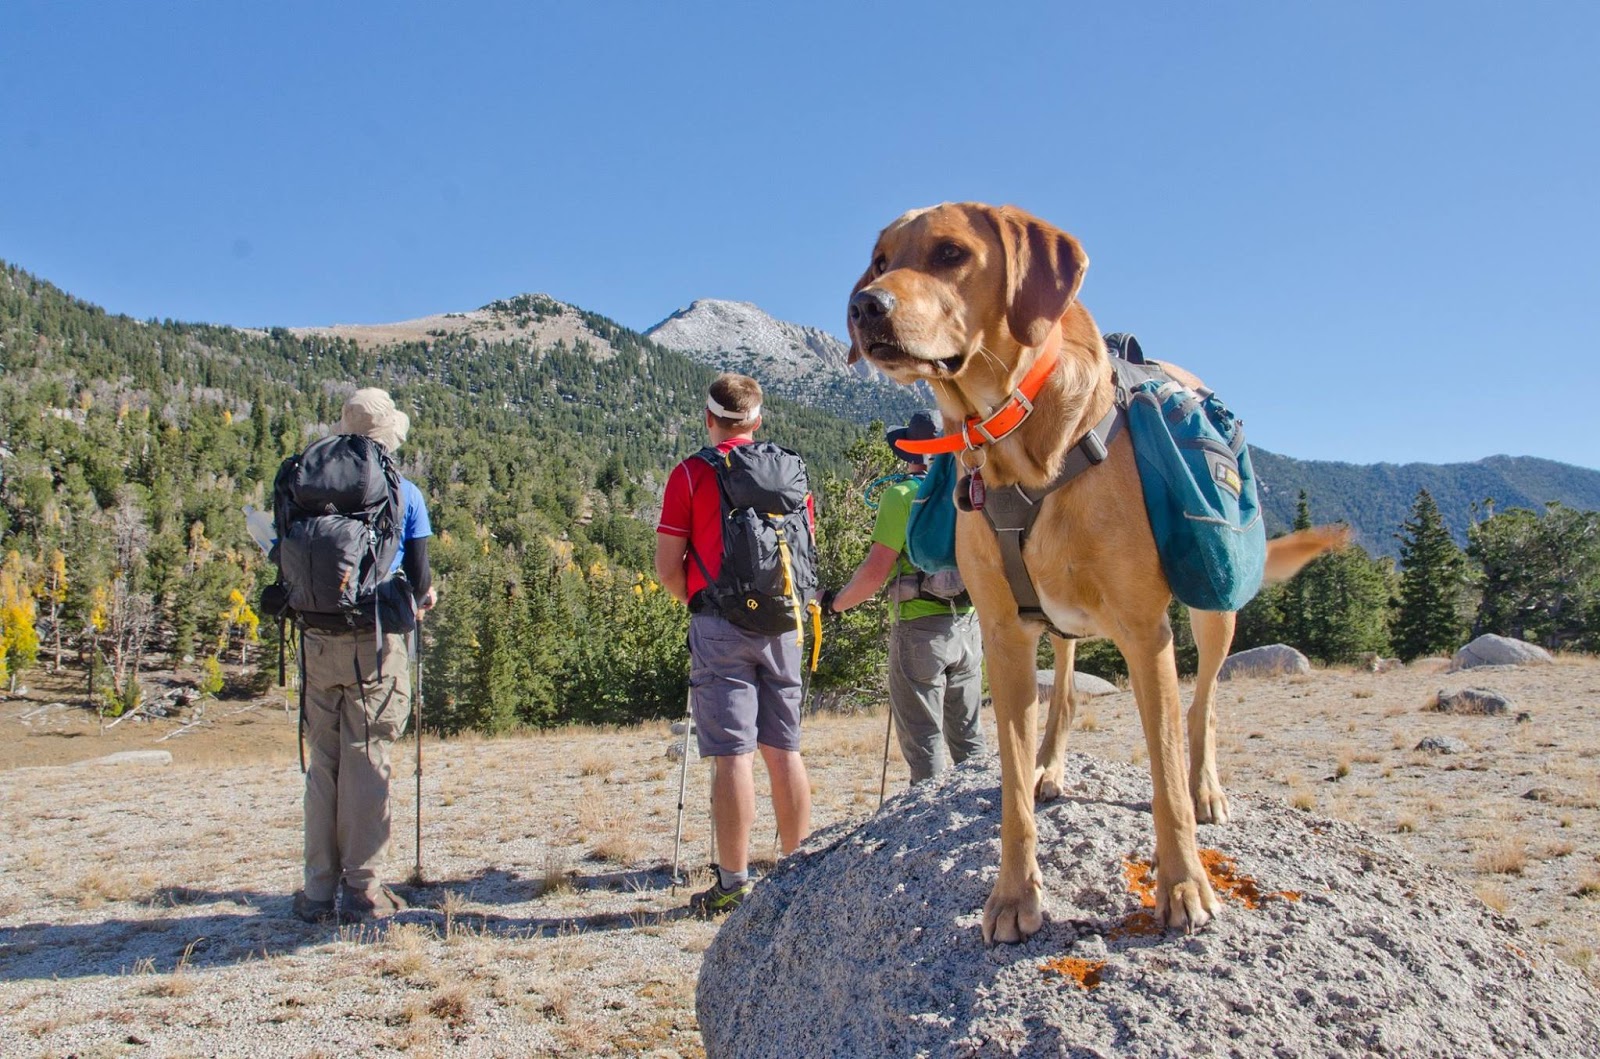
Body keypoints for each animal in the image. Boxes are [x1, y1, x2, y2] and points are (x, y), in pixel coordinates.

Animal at [844, 203, 1344, 940]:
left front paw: (1183, 885)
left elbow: (1165, 776)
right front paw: (1013, 894)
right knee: (1067, 691)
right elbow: (1013, 790)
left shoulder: (1145, 632)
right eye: (880, 262)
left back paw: (1208, 787)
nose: (864, 306)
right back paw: (1052, 764)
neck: (1011, 436)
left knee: (1202, 707)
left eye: (950, 253)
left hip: (1214, 612)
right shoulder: (1005, 635)